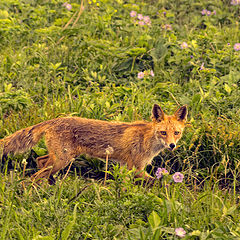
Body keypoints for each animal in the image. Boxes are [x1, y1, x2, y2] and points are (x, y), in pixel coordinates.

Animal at [0, 103, 188, 184]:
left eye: (176, 133)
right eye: (163, 133)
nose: (172, 145)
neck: (147, 139)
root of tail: (54, 120)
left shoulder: (126, 167)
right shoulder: (134, 168)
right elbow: (155, 182)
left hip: (59, 158)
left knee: (40, 161)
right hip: (62, 159)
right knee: (36, 174)